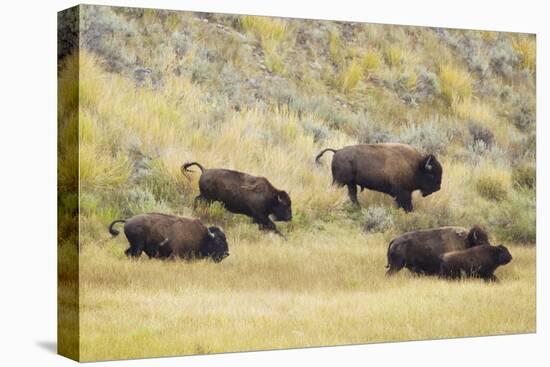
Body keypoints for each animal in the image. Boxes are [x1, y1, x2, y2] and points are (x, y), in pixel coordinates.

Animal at [314, 144, 444, 213]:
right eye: (432, 174)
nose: (438, 187)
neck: (416, 166)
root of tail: (337, 151)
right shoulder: (403, 192)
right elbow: (407, 204)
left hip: (350, 183)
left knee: (353, 195)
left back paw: (359, 208)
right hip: (339, 182)